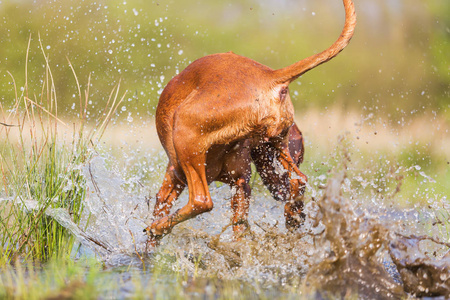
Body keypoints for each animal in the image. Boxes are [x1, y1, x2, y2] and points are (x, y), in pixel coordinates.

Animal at [144, 0, 356, 245]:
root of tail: (270, 75)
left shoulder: (174, 178)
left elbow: (160, 210)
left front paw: (154, 233)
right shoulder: (240, 184)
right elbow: (239, 225)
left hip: (186, 133)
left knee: (201, 201)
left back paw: (157, 227)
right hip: (272, 155)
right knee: (298, 181)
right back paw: (293, 220)